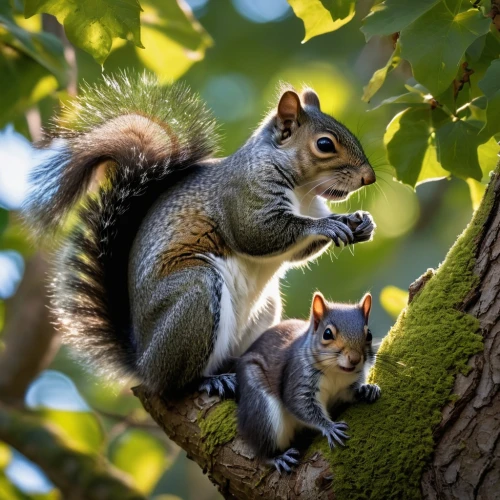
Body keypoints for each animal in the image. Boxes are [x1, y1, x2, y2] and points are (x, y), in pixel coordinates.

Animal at [23, 70, 376, 398]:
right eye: (325, 144)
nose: (369, 177)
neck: (303, 191)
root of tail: (143, 363)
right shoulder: (243, 197)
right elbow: (258, 234)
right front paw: (328, 225)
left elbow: (298, 251)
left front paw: (360, 222)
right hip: (197, 295)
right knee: (176, 383)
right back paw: (208, 380)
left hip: (263, 309)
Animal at [236, 290, 380, 472]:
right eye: (327, 334)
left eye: (369, 334)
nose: (354, 359)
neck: (335, 372)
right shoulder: (298, 378)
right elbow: (302, 406)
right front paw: (330, 427)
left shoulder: (346, 386)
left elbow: (350, 393)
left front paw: (366, 389)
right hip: (261, 406)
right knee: (262, 450)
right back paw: (276, 458)